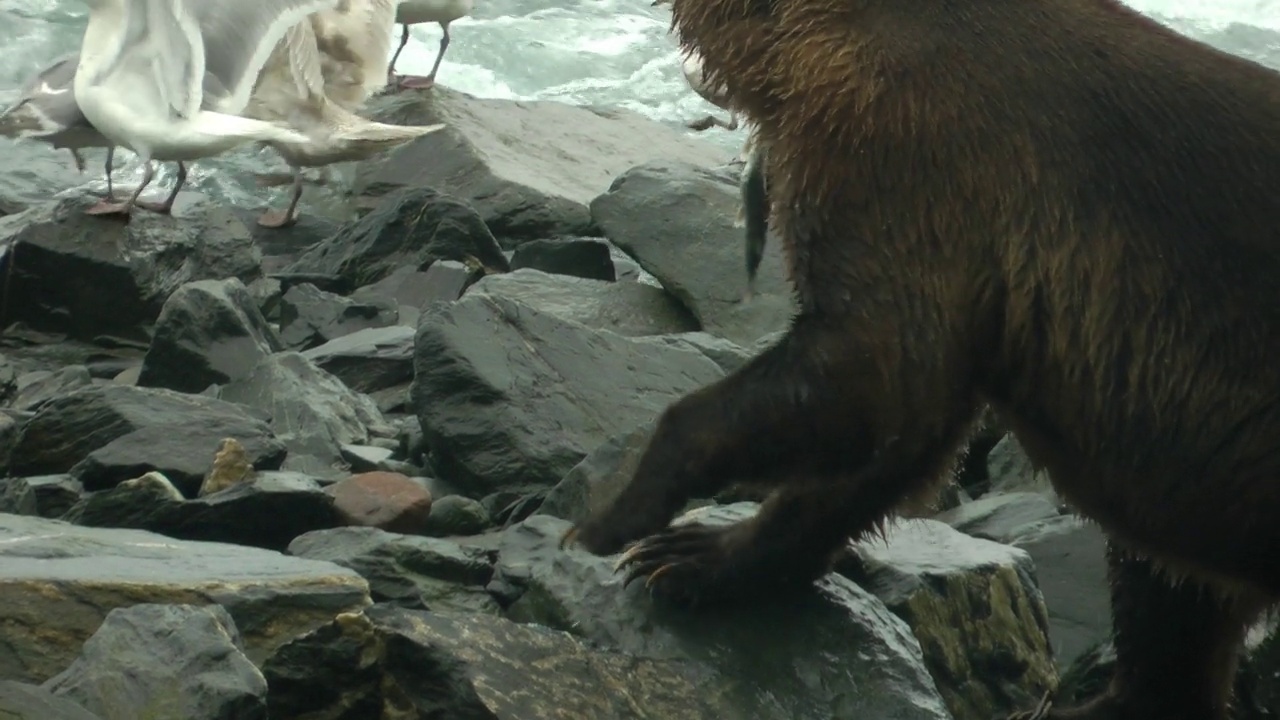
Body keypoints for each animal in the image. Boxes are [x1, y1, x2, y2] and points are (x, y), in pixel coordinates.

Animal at [565, 0, 1280, 712]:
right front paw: (692, 555)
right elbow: (899, 438)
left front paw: (613, 518)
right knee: (1167, 592)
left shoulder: (905, 157)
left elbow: (872, 374)